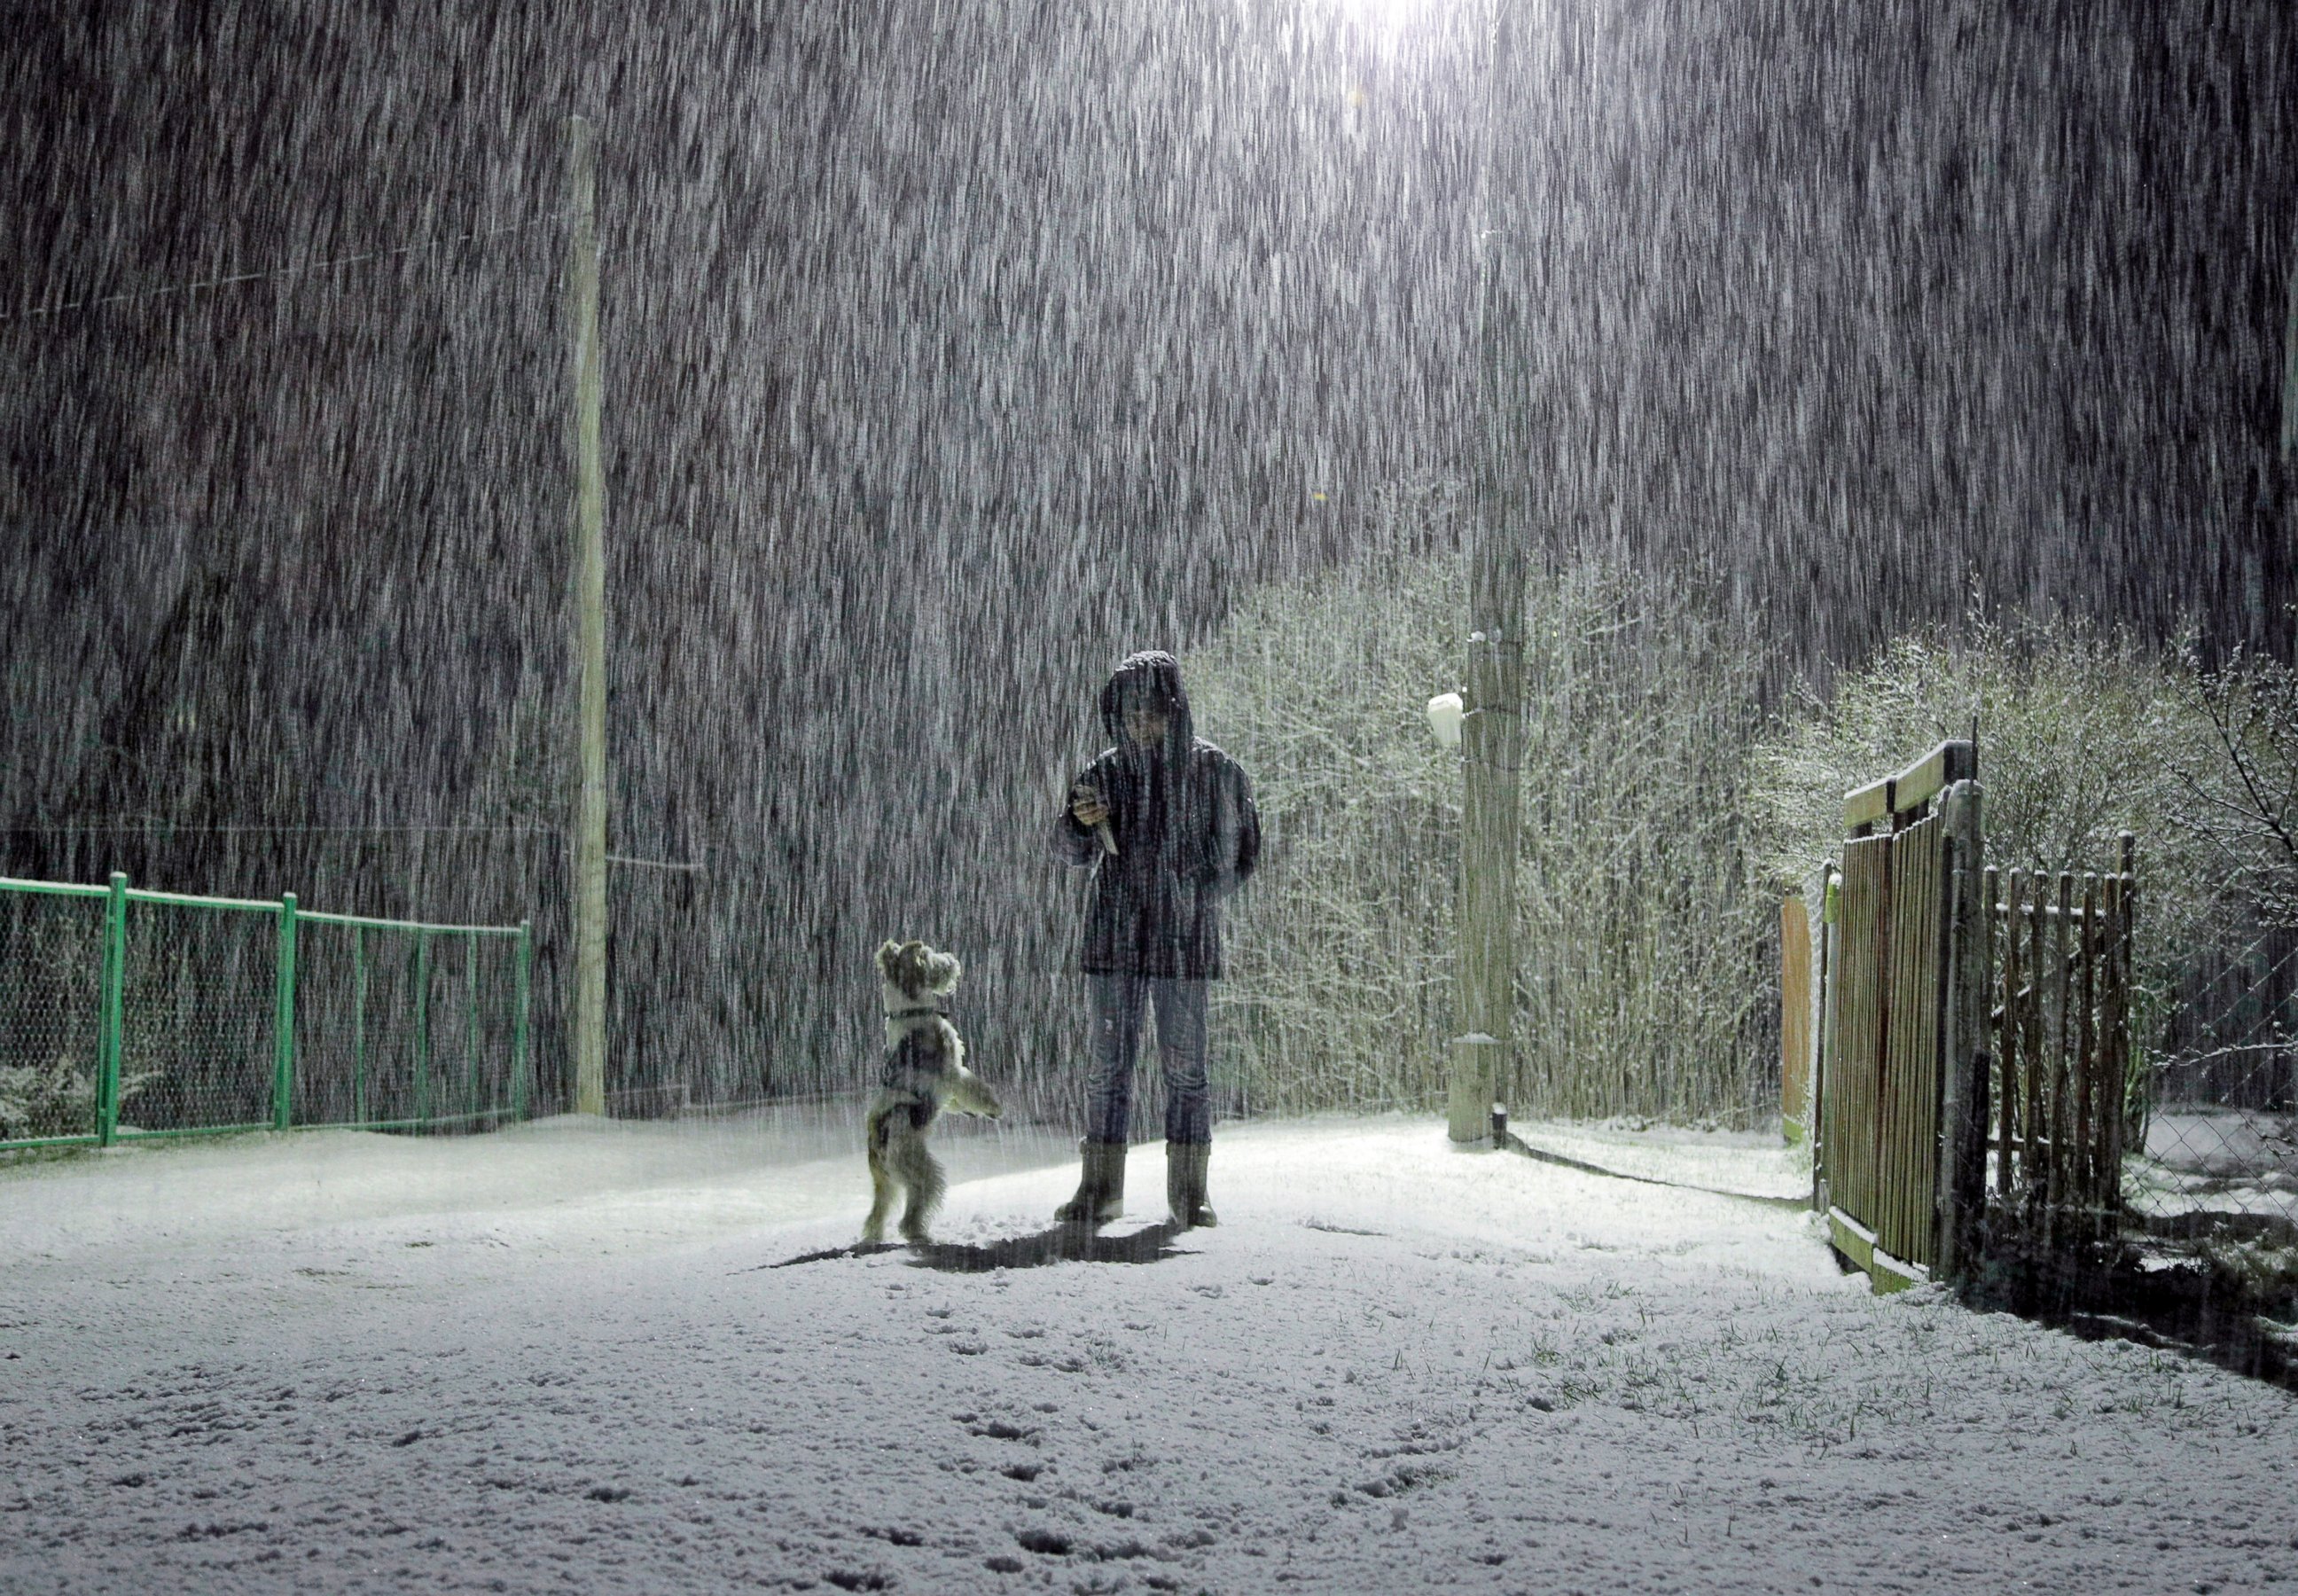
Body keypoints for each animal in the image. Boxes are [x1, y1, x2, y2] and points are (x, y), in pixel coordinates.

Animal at [864, 938, 1002, 1250]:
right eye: (928, 957)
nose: (951, 960)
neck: (909, 1011)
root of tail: (878, 1139)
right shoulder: (954, 1072)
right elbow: (974, 1087)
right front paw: (993, 1107)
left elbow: (957, 1101)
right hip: (922, 1173)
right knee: (913, 1210)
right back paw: (919, 1234)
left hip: (884, 1182)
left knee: (877, 1213)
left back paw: (874, 1238)